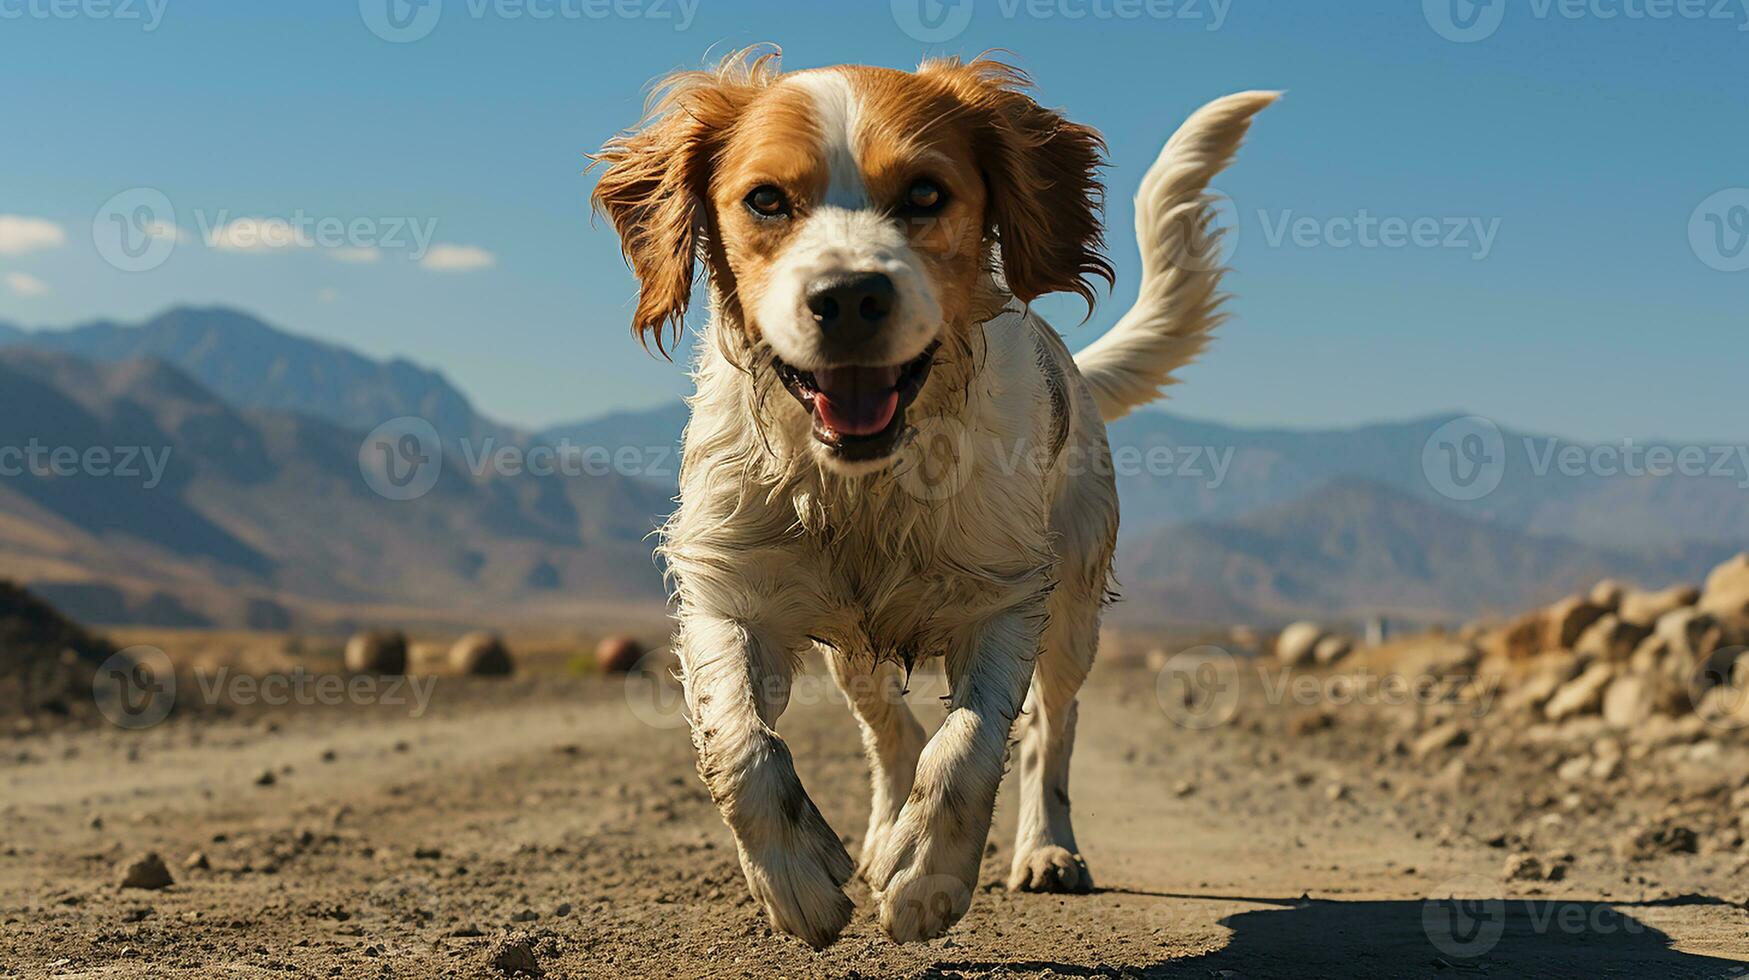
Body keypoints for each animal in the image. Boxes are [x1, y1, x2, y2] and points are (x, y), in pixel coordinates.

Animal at [587, 49, 1273, 945]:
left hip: (1074, 610)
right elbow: (740, 744)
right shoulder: (731, 593)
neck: (867, 481)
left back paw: (1045, 851)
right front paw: (798, 879)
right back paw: (882, 834)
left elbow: (970, 747)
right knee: (888, 733)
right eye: (765, 199)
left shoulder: (1006, 597)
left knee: (1049, 732)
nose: (848, 298)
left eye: (923, 194)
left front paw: (925, 880)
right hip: (852, 647)